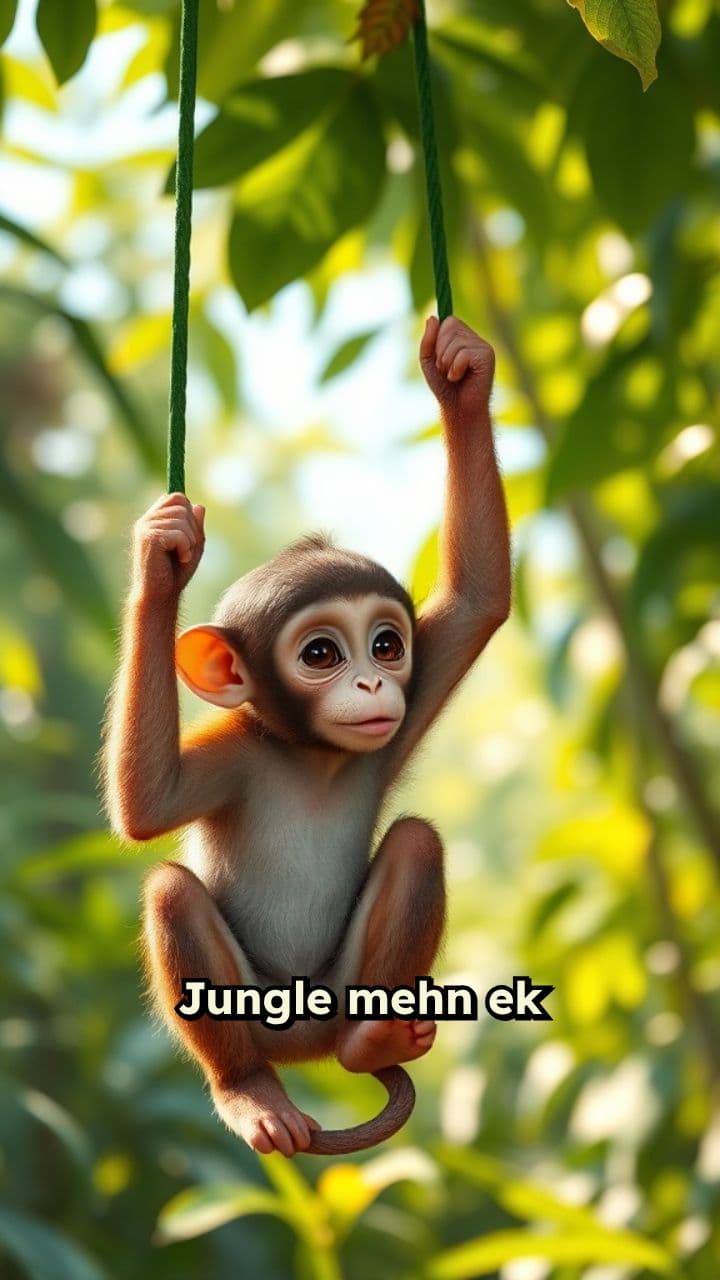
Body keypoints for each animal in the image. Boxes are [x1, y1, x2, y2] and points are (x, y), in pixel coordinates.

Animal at [103, 315, 511, 1158]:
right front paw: (160, 564)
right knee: (170, 894)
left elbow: (479, 596)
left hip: (336, 991)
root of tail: (307, 1048)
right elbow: (147, 803)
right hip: (259, 1012)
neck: (310, 757)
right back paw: (247, 1090)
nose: (374, 684)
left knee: (416, 843)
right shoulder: (236, 751)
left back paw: (371, 1040)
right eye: (322, 654)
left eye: (386, 645)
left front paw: (461, 378)